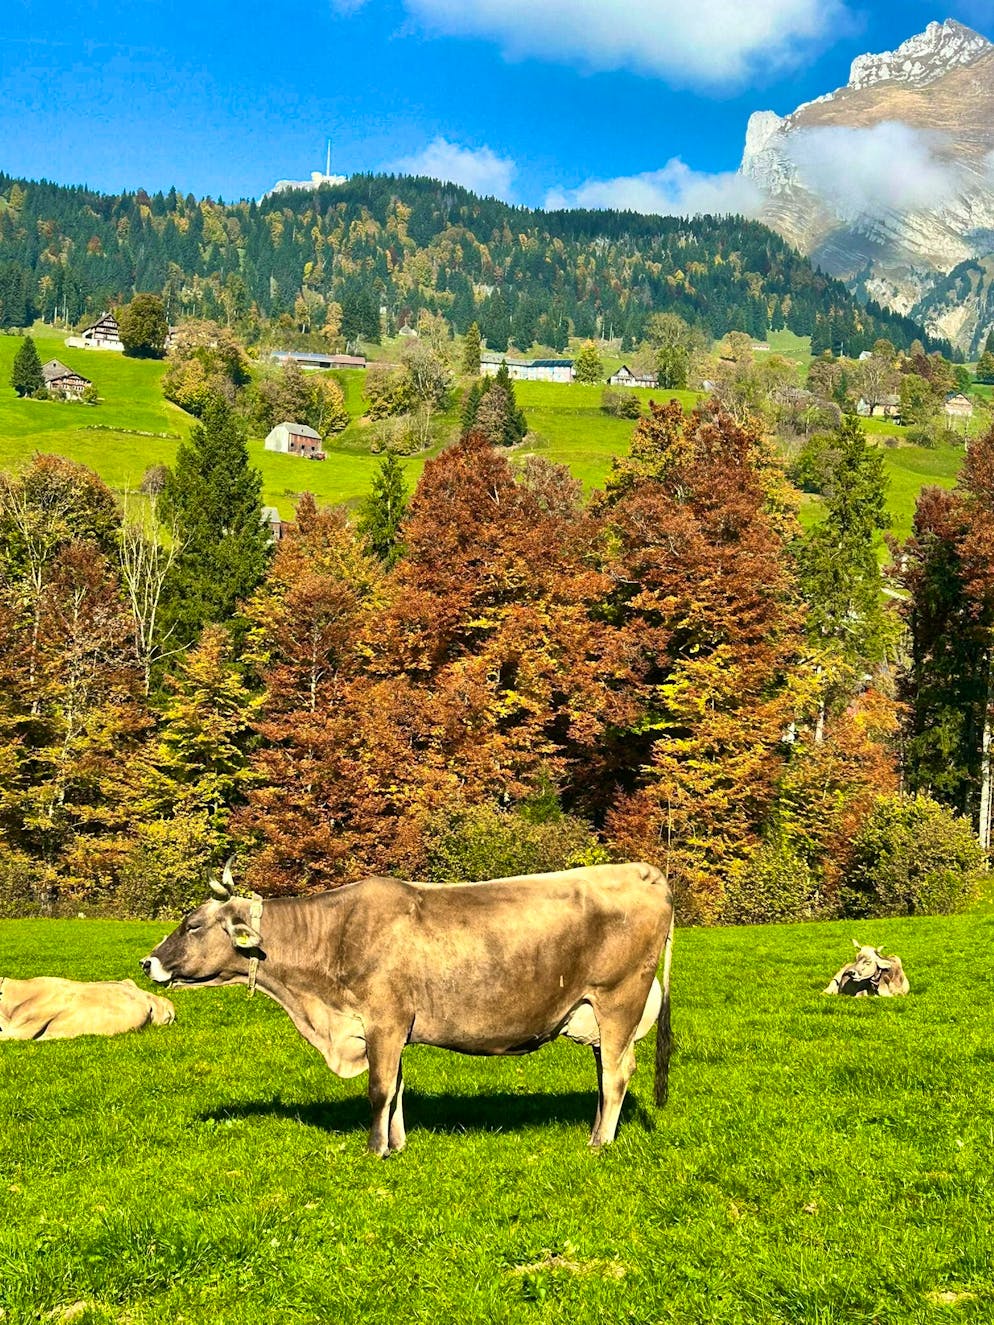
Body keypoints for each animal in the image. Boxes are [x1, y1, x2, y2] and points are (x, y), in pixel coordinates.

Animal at [142, 861, 675, 1156]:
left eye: (192, 924)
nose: (148, 962)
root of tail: (644, 872)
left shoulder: (384, 1021)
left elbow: (379, 1090)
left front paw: (374, 1150)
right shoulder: (391, 1031)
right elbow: (396, 1088)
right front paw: (397, 1144)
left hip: (618, 1000)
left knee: (617, 1073)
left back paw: (600, 1144)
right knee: (606, 1073)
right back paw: (595, 1130)